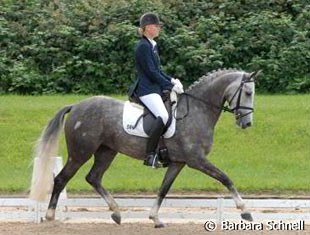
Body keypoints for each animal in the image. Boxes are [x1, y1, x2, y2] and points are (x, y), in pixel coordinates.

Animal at [30, 68, 260, 228]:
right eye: (248, 92)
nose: (247, 123)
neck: (198, 110)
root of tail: (76, 106)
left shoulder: (178, 162)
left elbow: (164, 189)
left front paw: (155, 218)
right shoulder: (196, 160)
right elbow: (225, 178)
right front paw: (245, 211)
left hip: (106, 151)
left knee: (93, 177)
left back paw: (116, 212)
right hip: (80, 153)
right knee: (61, 179)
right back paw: (50, 216)